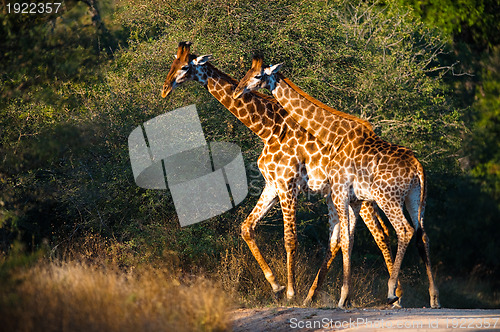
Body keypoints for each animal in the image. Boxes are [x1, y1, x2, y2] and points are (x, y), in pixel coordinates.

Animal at [162, 42, 400, 304]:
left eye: (185, 67)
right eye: (173, 62)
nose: (164, 89)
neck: (268, 129)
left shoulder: (288, 185)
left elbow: (290, 238)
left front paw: (290, 292)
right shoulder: (272, 184)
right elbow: (247, 227)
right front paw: (276, 286)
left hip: (358, 195)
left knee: (379, 234)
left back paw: (396, 297)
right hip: (345, 196)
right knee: (347, 237)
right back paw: (313, 297)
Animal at [234, 55, 442, 310]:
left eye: (257, 75)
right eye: (247, 71)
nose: (238, 90)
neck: (334, 134)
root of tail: (417, 167)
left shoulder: (340, 192)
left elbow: (343, 239)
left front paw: (343, 297)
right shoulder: (353, 199)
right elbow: (348, 240)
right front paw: (345, 296)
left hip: (388, 198)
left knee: (404, 230)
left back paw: (392, 292)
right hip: (416, 198)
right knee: (423, 234)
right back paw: (434, 298)